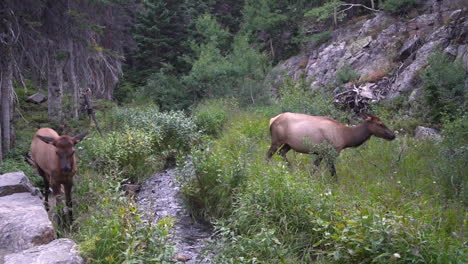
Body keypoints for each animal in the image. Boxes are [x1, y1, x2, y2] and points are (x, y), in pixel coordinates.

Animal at [266, 112, 394, 176]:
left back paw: (291, 169)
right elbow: (332, 171)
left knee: (281, 153)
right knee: (268, 155)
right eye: (380, 124)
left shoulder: (322, 153)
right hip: (276, 140)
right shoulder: (330, 151)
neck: (346, 137)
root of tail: (272, 120)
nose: (393, 135)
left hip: (288, 144)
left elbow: (315, 167)